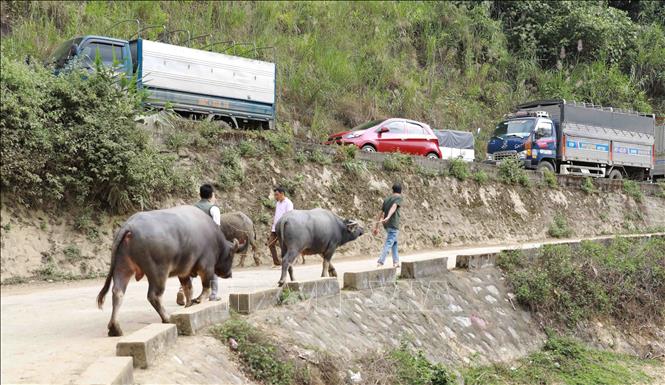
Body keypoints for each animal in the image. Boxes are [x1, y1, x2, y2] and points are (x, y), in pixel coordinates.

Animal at [97, 206, 243, 334]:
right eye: (231, 255)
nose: (229, 274)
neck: (216, 242)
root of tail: (129, 226)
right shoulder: (206, 266)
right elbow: (205, 286)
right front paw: (198, 300)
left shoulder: (184, 272)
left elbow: (188, 289)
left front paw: (188, 305)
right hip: (158, 272)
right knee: (154, 295)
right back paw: (167, 318)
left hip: (122, 267)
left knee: (117, 292)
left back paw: (115, 328)